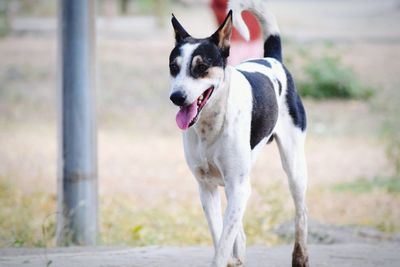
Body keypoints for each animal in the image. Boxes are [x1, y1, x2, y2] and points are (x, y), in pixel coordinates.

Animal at [169, 1, 310, 266]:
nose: (176, 97)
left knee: (302, 212)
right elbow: (220, 234)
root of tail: (272, 59)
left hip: (294, 167)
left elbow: (224, 241)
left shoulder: (238, 185)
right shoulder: (206, 187)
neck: (211, 123)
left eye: (201, 67)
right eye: (173, 67)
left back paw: (300, 256)